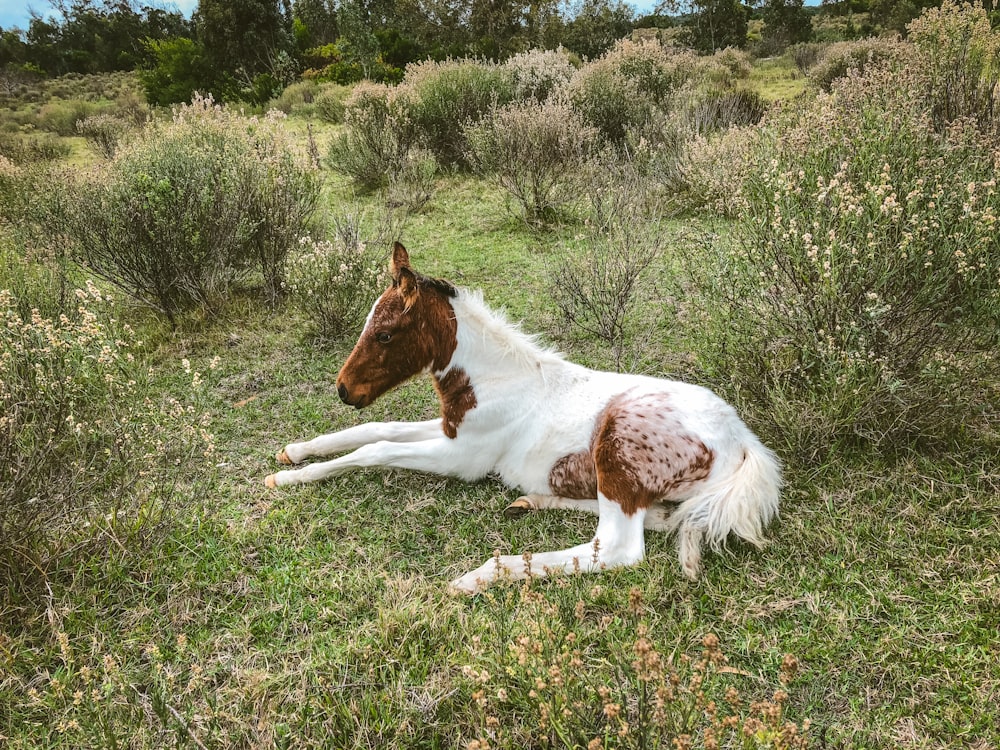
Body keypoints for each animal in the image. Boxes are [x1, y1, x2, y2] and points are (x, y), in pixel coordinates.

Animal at [266, 244, 780, 596]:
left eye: (386, 334)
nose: (343, 389)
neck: (497, 379)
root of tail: (741, 439)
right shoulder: (451, 430)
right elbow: (374, 430)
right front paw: (293, 454)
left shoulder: (462, 457)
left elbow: (376, 448)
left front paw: (289, 478)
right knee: (663, 519)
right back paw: (530, 501)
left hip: (615, 448)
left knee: (618, 548)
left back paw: (479, 575)